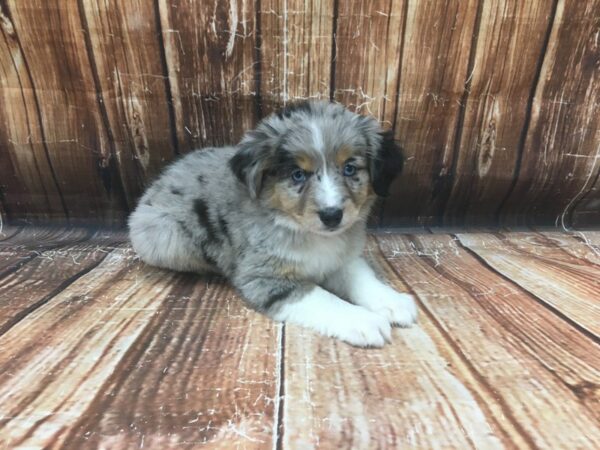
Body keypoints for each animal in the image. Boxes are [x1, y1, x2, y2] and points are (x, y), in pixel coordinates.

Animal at [127, 101, 418, 348]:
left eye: (349, 168)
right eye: (298, 175)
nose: (332, 215)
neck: (311, 235)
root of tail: (162, 177)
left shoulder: (342, 258)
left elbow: (362, 278)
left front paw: (392, 301)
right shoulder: (265, 278)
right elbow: (323, 297)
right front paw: (361, 320)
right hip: (165, 238)